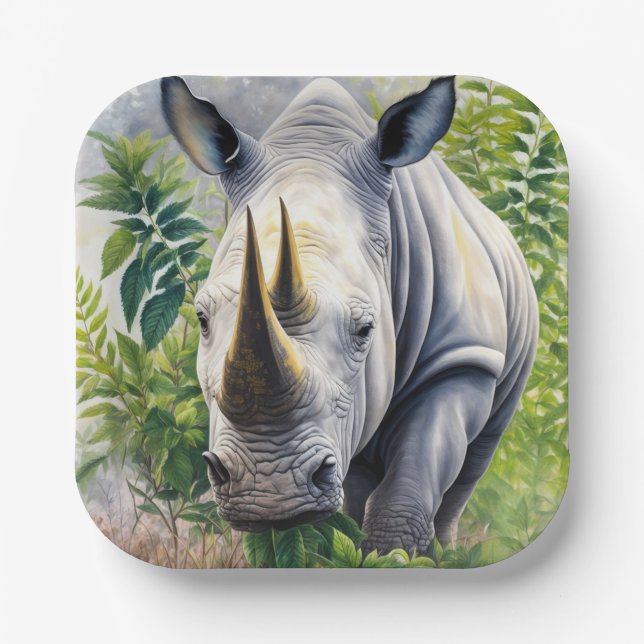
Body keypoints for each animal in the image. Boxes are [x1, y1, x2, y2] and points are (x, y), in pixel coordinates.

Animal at [161, 75, 538, 554]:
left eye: (365, 329)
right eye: (202, 320)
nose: (270, 494)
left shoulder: (461, 356)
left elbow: (415, 474)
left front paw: (394, 555)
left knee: (475, 458)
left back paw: (446, 550)